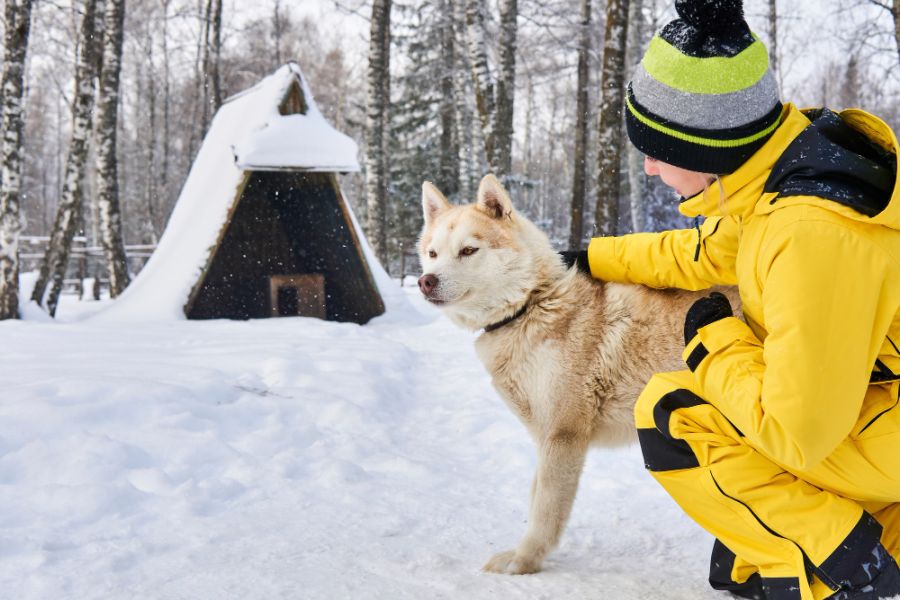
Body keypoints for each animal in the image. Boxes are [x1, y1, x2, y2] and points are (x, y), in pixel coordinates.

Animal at [418, 173, 736, 576]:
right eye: (433, 254)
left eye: (469, 251)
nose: (426, 281)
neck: (530, 306)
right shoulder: (544, 436)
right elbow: (535, 497)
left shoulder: (563, 436)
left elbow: (544, 510)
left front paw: (524, 562)